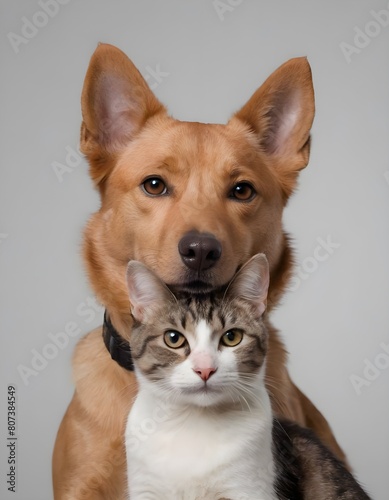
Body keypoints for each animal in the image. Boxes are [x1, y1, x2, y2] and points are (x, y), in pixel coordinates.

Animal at [124, 254, 370, 500]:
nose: (205, 369)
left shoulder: (248, 487)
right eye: (173, 338)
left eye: (232, 337)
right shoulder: (145, 489)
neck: (194, 422)